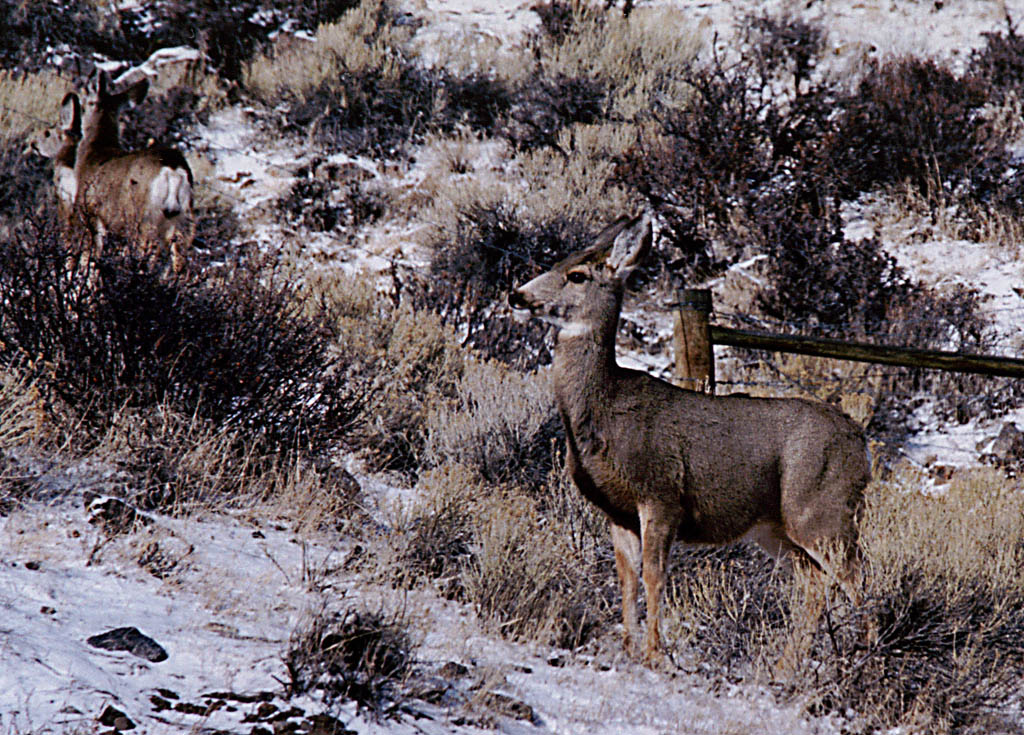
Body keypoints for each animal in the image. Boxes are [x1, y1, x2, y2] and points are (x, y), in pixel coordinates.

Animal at [30, 59, 193, 276]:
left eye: (83, 107)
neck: (96, 150)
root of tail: (173, 170)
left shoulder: (89, 213)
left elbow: (88, 259)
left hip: (142, 218)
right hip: (184, 220)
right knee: (180, 265)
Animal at [507, 214, 868, 667]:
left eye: (577, 275)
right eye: (557, 262)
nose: (516, 295)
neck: (604, 410)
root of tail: (861, 443)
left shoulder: (661, 494)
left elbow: (654, 575)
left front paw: (654, 654)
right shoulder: (617, 511)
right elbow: (626, 578)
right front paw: (629, 649)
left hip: (822, 510)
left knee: (861, 580)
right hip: (776, 527)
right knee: (815, 585)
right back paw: (788, 666)